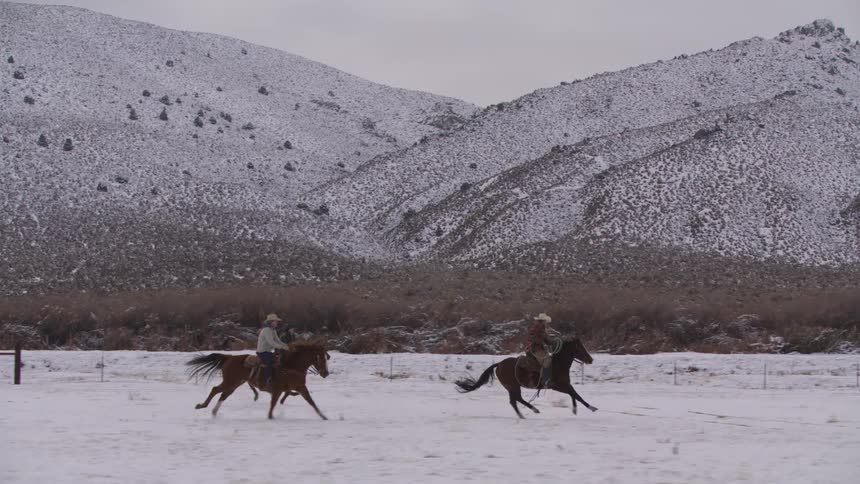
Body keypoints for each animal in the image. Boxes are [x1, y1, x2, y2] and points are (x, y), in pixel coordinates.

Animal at [187, 341, 331, 420]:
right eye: (321, 358)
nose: (326, 373)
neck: (291, 365)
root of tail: (229, 358)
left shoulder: (301, 387)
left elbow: (311, 402)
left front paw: (323, 416)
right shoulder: (278, 389)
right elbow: (273, 403)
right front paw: (270, 417)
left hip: (235, 384)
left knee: (223, 394)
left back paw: (213, 411)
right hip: (230, 382)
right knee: (215, 390)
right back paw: (202, 406)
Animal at [454, 336, 598, 418]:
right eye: (580, 347)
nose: (591, 359)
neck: (558, 364)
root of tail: (499, 364)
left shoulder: (565, 385)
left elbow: (574, 394)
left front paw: (579, 409)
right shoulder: (557, 386)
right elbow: (574, 394)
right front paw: (587, 408)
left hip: (512, 387)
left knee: (515, 400)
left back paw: (528, 412)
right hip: (513, 386)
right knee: (516, 400)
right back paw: (530, 412)